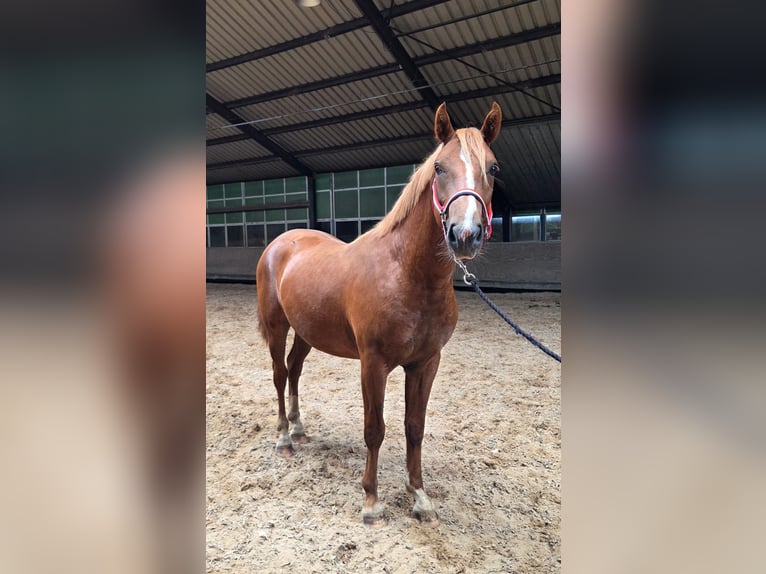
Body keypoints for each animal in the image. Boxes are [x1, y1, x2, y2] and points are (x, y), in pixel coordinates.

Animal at [256, 102, 502, 526]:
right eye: (440, 168)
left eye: (493, 168)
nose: (465, 235)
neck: (406, 273)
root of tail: (281, 242)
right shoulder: (373, 363)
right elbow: (375, 428)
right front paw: (371, 501)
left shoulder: (426, 363)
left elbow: (414, 427)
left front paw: (420, 498)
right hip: (276, 326)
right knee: (279, 374)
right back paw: (285, 438)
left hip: (306, 332)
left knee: (295, 370)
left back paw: (300, 429)